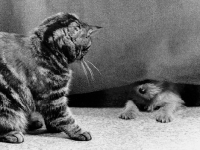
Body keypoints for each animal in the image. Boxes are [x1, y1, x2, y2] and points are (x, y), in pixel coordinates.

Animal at [0, 12, 101, 143]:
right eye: (87, 47)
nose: (83, 57)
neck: (47, 48)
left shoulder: (50, 99)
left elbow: (51, 117)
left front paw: (53, 127)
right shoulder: (53, 99)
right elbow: (66, 119)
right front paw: (79, 132)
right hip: (8, 104)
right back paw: (13, 133)